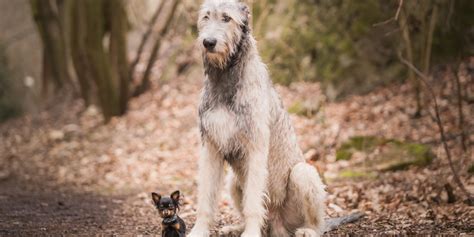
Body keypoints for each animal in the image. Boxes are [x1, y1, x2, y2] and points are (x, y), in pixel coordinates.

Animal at [187, 0, 328, 237]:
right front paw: (199, 230)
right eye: (206, 17)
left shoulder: (255, 147)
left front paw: (251, 232)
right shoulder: (211, 146)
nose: (208, 42)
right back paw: (237, 227)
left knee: (318, 220)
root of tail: (277, 224)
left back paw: (308, 230)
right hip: (233, 181)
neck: (226, 78)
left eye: (227, 18)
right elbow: (205, 198)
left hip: (303, 174)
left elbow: (253, 201)